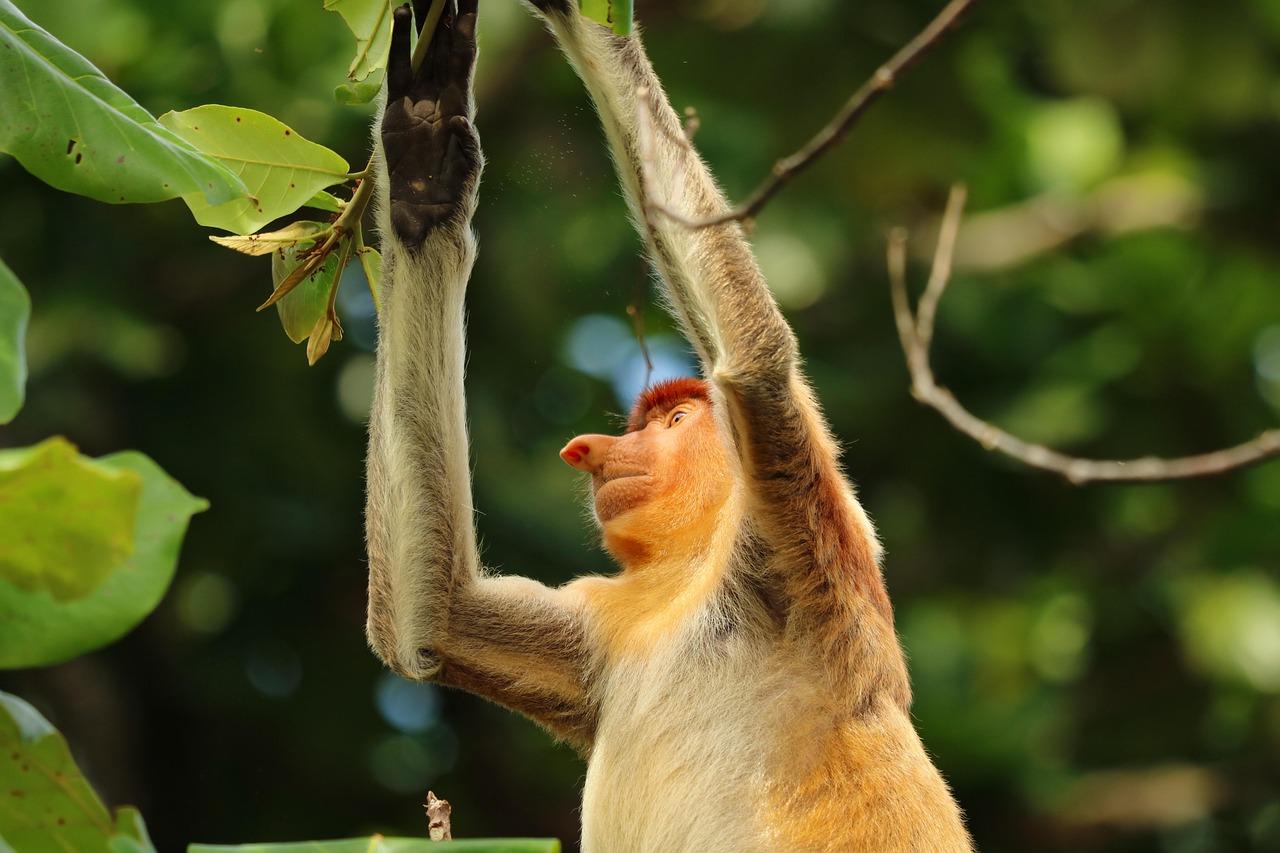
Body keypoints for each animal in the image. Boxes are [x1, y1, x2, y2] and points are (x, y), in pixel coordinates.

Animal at [364, 1, 974, 850]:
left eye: (677, 419)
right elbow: (432, 619)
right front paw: (423, 170)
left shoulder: (808, 532)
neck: (692, 567)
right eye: (637, 424)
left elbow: (755, 365)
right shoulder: (605, 617)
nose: (590, 451)